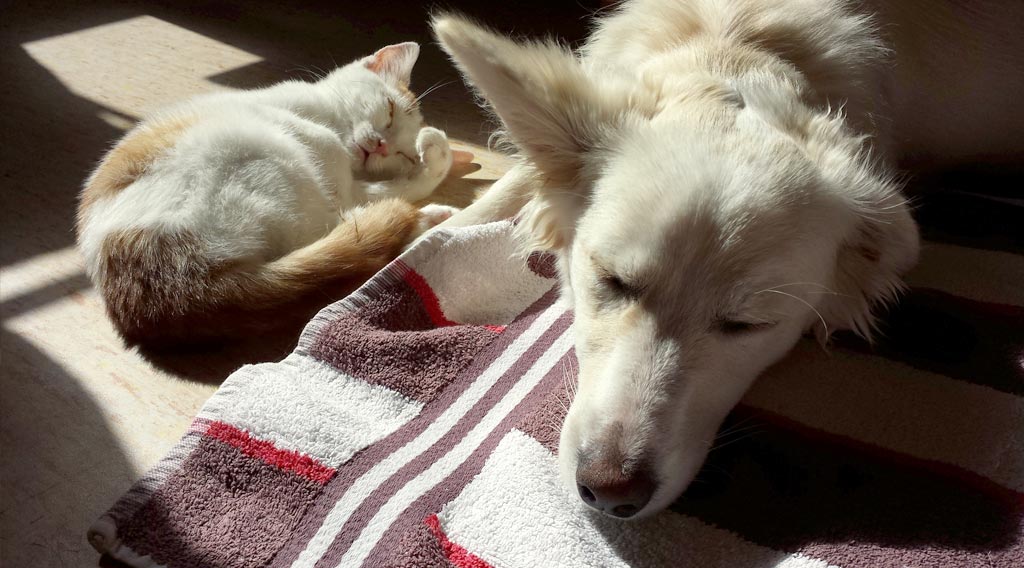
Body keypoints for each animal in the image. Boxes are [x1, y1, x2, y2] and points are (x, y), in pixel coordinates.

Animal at [76, 42, 464, 345]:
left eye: (403, 153)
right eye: (389, 109)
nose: (382, 146)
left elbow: (384, 187)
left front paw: (432, 158)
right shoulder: (295, 121)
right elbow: (361, 173)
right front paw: (434, 153)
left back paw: (427, 220)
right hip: (255, 145)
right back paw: (423, 219)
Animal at [428, 0, 1019, 517]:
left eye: (746, 325)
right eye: (612, 281)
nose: (610, 493)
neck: (733, 49)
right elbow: (498, 193)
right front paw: (431, 236)